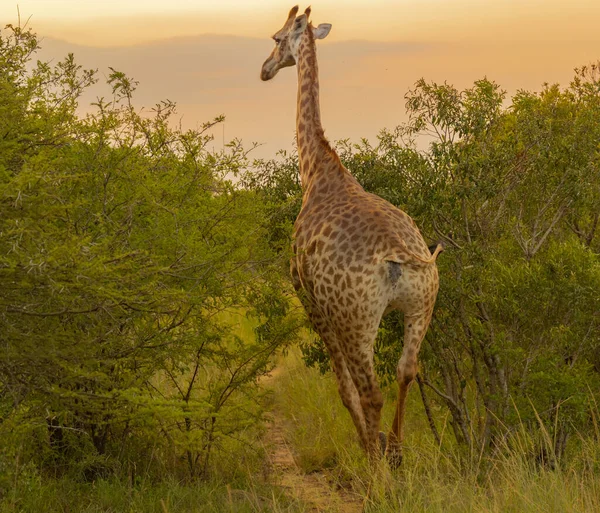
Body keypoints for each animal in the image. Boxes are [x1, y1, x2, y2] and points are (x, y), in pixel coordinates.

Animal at [260, 7, 442, 464]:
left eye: (276, 38)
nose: (265, 69)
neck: (316, 171)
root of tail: (399, 256)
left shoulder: (310, 300)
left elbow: (343, 390)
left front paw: (363, 444)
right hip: (422, 304)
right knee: (406, 370)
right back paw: (394, 447)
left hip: (357, 318)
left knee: (370, 391)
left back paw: (376, 461)